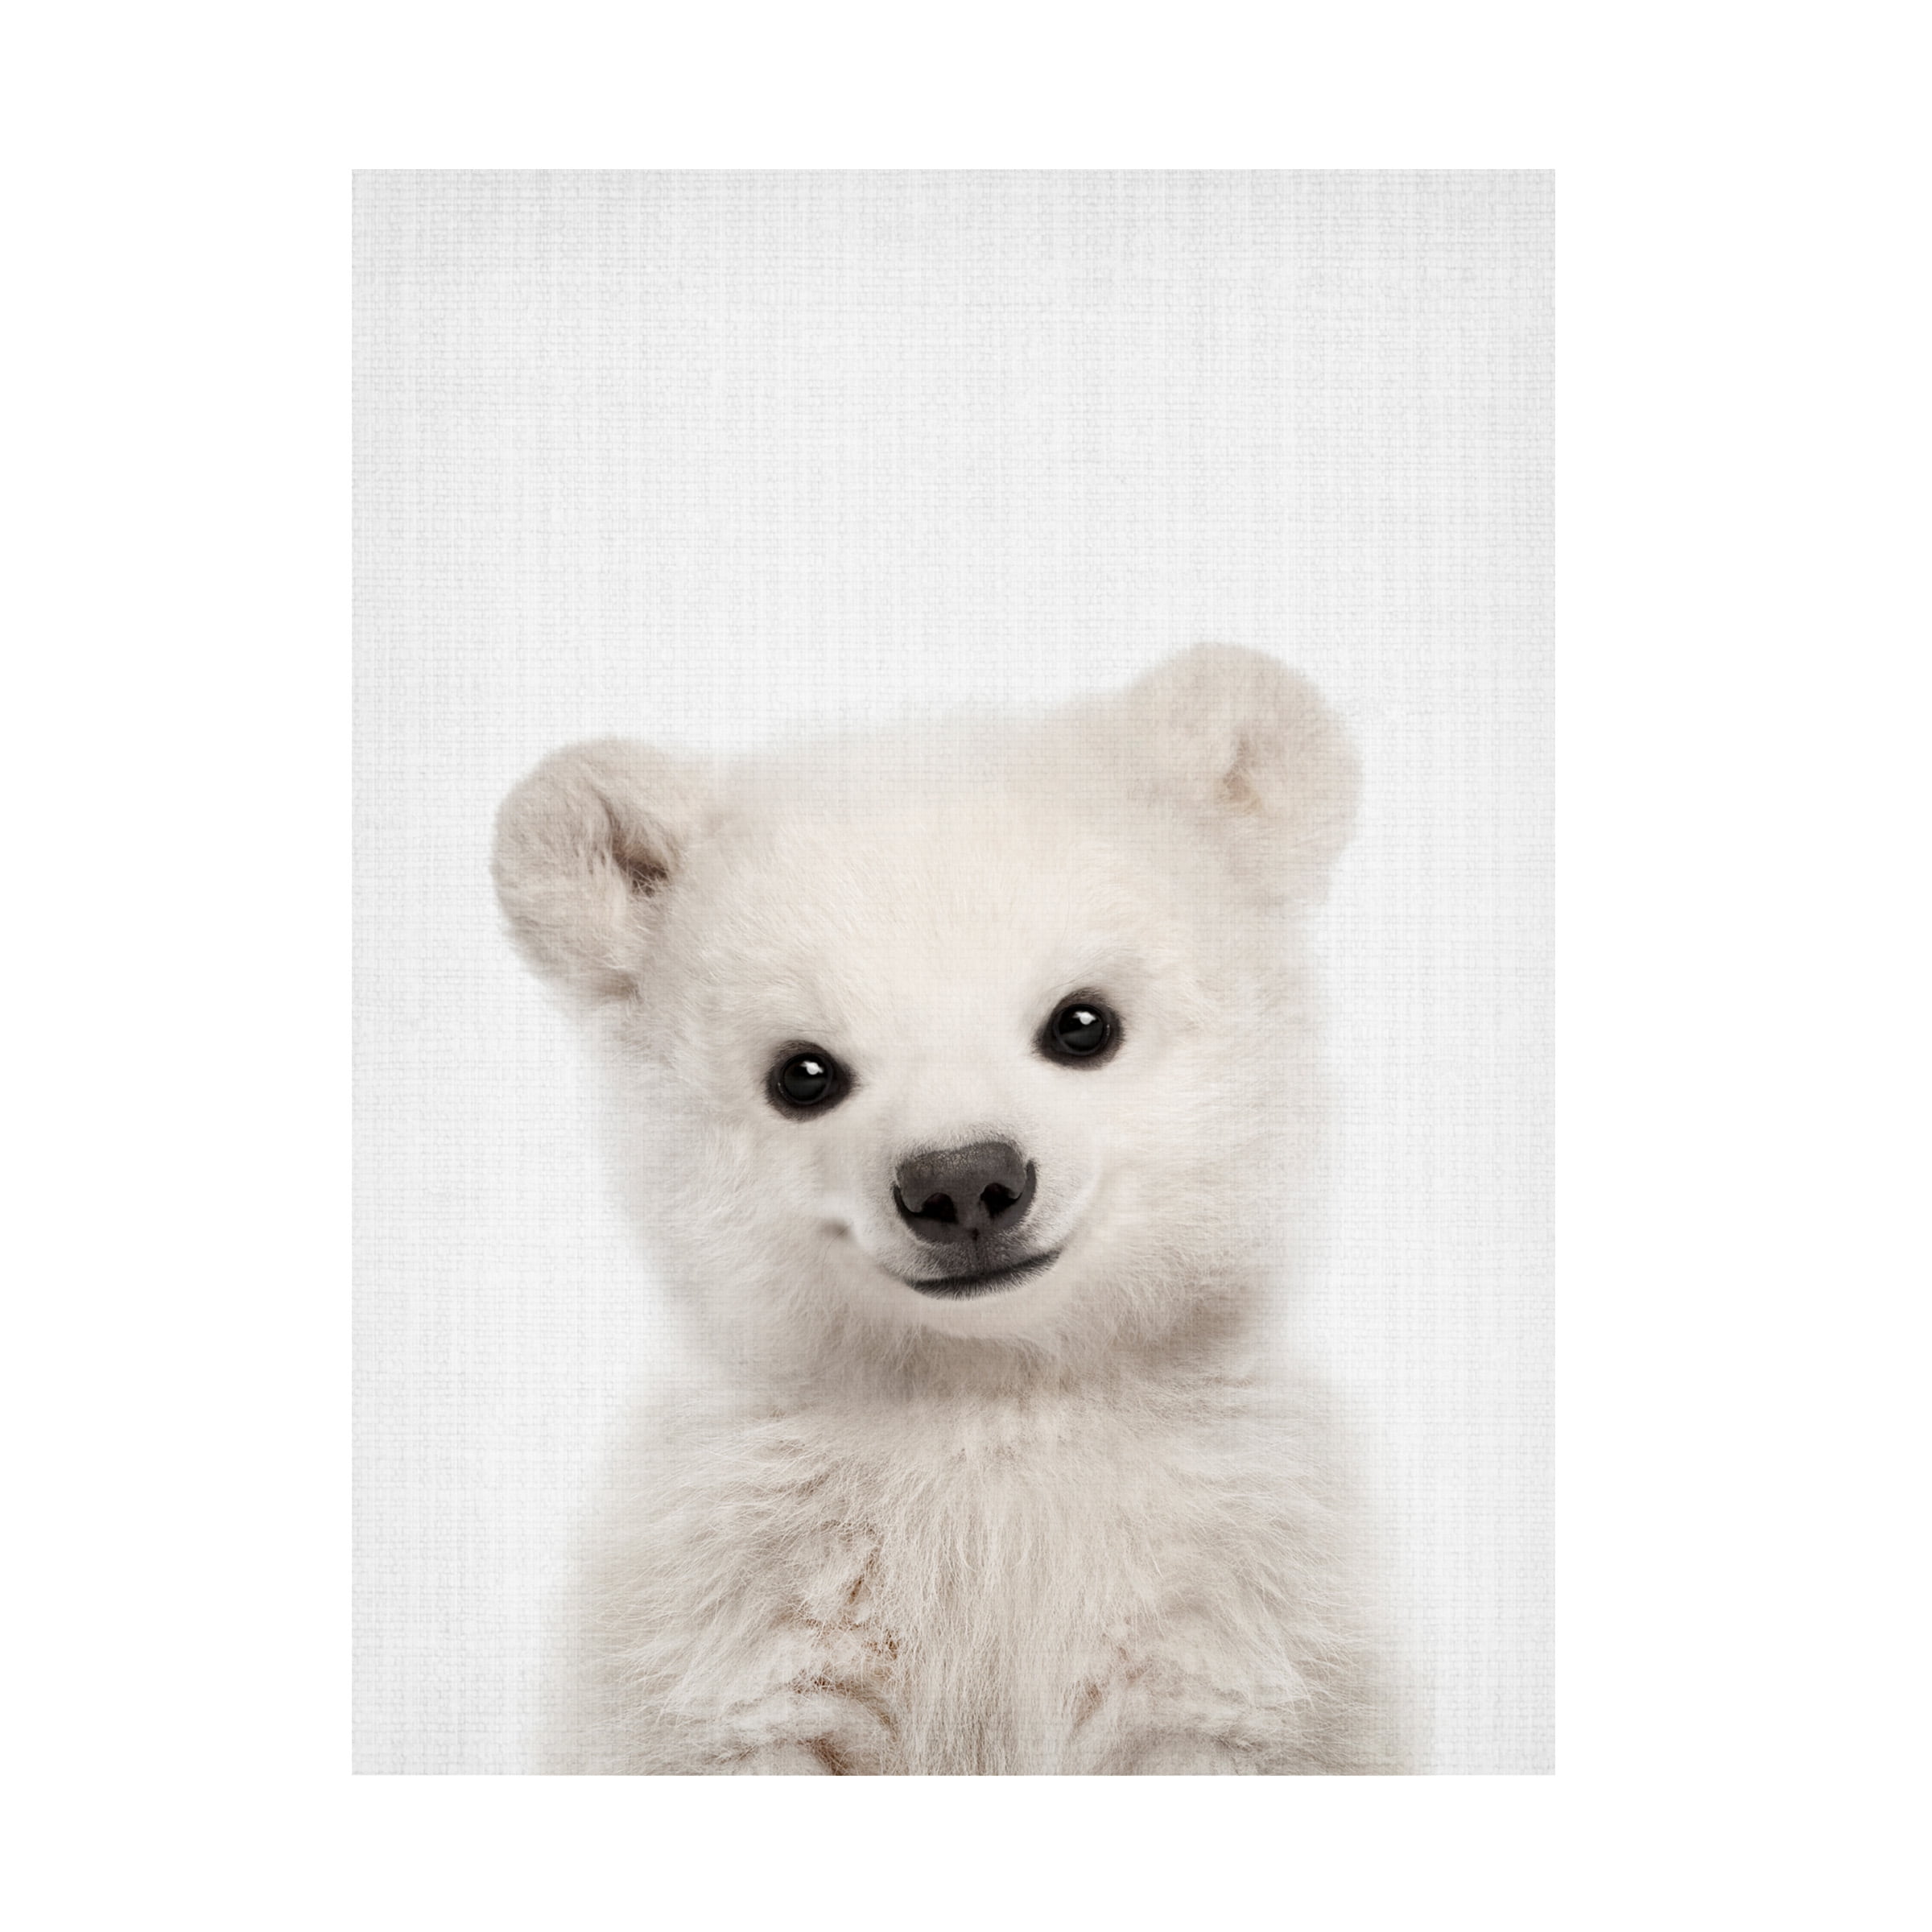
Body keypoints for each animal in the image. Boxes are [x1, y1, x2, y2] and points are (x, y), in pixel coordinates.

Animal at [492, 644, 1400, 1774]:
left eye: (1084, 1023)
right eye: (802, 1073)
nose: (963, 1181)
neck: (986, 1398)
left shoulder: (1235, 1602)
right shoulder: (735, 1607)